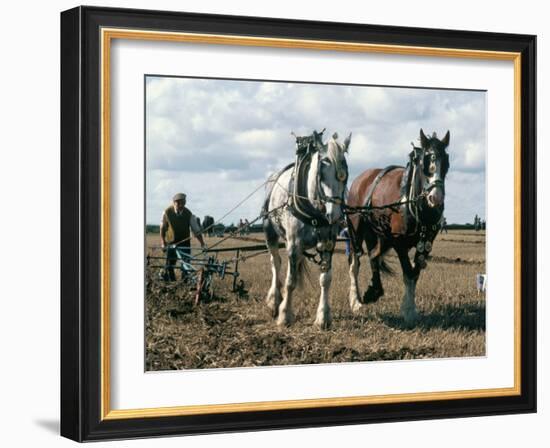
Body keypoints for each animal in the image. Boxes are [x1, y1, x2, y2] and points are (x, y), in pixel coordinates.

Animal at [264, 130, 354, 328]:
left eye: (346, 174)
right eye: (322, 172)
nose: (335, 215)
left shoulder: (328, 243)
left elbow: (325, 279)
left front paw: (323, 317)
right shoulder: (293, 244)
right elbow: (290, 281)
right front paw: (285, 315)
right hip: (271, 233)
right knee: (276, 263)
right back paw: (274, 301)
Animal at [348, 128, 450, 324]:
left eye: (447, 163)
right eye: (425, 161)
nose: (436, 197)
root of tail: (362, 178)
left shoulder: (426, 244)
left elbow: (414, 274)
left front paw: (409, 308)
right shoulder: (399, 243)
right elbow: (408, 273)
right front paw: (408, 310)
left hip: (378, 235)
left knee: (374, 256)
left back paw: (374, 290)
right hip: (356, 231)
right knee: (355, 263)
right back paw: (355, 301)